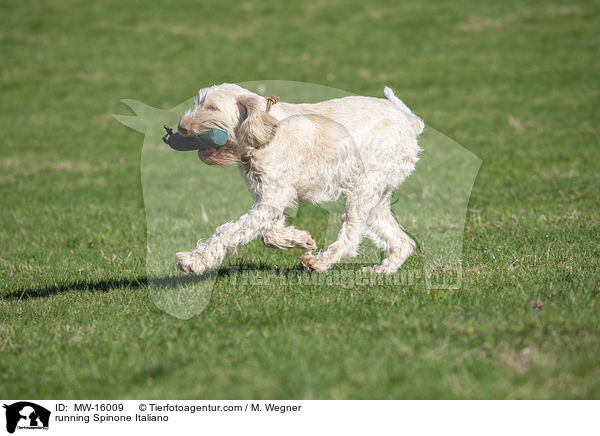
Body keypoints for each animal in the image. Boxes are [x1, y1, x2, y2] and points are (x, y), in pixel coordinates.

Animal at [176, 83, 424, 274]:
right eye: (196, 104)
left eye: (212, 107)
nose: (181, 128)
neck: (263, 133)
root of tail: (410, 121)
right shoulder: (270, 200)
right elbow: (268, 234)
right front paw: (303, 239)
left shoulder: (272, 200)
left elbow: (229, 232)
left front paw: (192, 261)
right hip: (377, 199)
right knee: (403, 242)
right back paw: (381, 270)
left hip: (361, 189)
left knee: (352, 235)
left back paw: (318, 263)